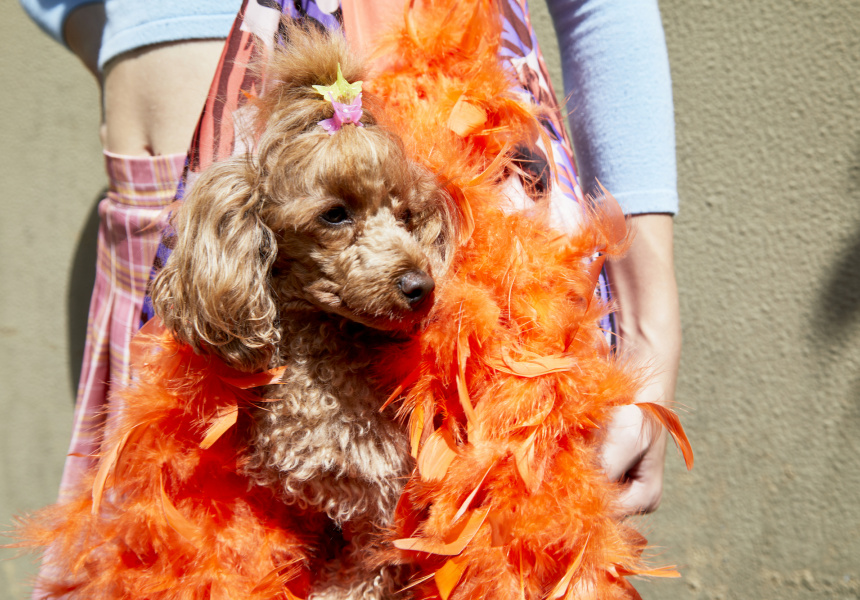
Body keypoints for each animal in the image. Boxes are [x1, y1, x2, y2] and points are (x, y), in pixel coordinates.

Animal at [150, 24, 454, 600]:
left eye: (406, 215)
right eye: (334, 214)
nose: (420, 286)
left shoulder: (380, 515)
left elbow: (358, 578)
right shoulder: (286, 502)